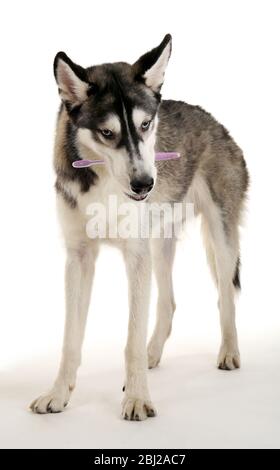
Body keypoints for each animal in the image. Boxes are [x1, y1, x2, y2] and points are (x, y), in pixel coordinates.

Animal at [30, 35, 248, 420]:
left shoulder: (135, 256)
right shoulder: (79, 258)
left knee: (225, 295)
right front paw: (58, 393)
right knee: (168, 302)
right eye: (107, 133)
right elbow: (70, 339)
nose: (145, 184)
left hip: (220, 239)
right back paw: (152, 354)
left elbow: (130, 339)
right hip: (159, 246)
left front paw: (136, 398)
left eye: (146, 125)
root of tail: (215, 122)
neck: (104, 185)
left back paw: (228, 351)